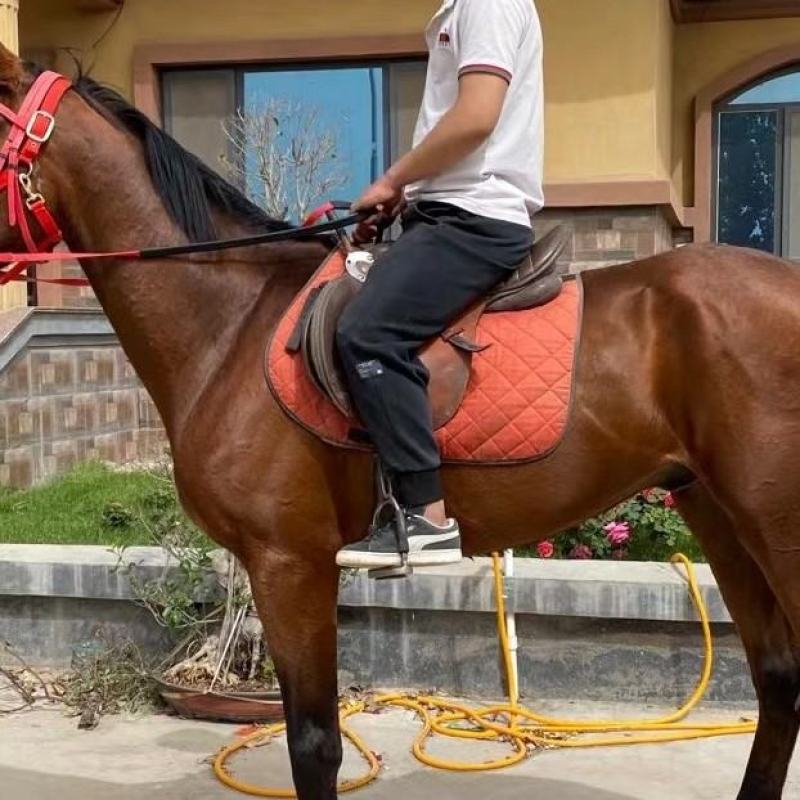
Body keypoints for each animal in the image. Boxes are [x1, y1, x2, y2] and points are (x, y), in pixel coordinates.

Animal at [1, 46, 798, 799]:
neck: (233, 321)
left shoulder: (289, 563)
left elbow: (314, 745)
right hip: (716, 512)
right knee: (777, 675)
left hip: (769, 519)